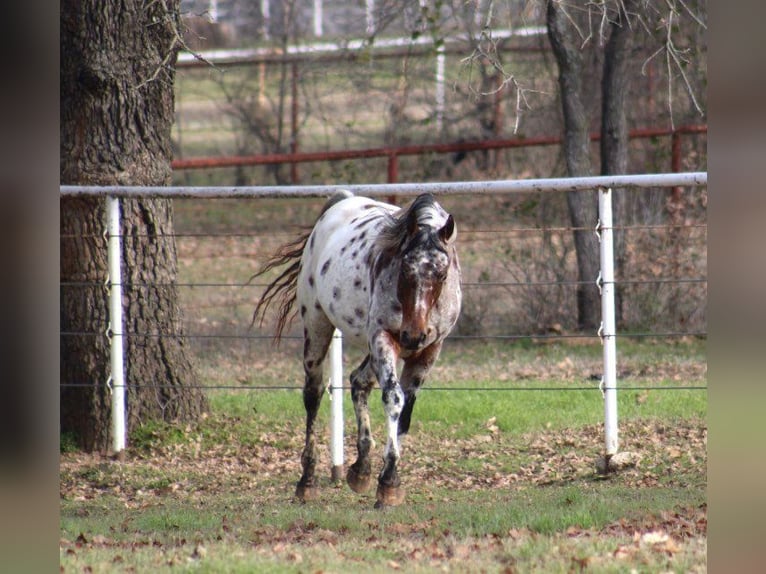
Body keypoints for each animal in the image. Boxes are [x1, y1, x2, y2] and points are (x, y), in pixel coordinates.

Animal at [255, 192, 464, 508]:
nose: (413, 334)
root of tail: (340, 202)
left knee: (358, 380)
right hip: (317, 326)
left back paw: (361, 469)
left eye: (441, 274)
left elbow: (406, 410)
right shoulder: (383, 337)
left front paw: (387, 478)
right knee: (313, 394)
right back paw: (307, 481)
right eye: (405, 268)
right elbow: (394, 399)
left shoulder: (429, 350)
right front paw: (388, 483)